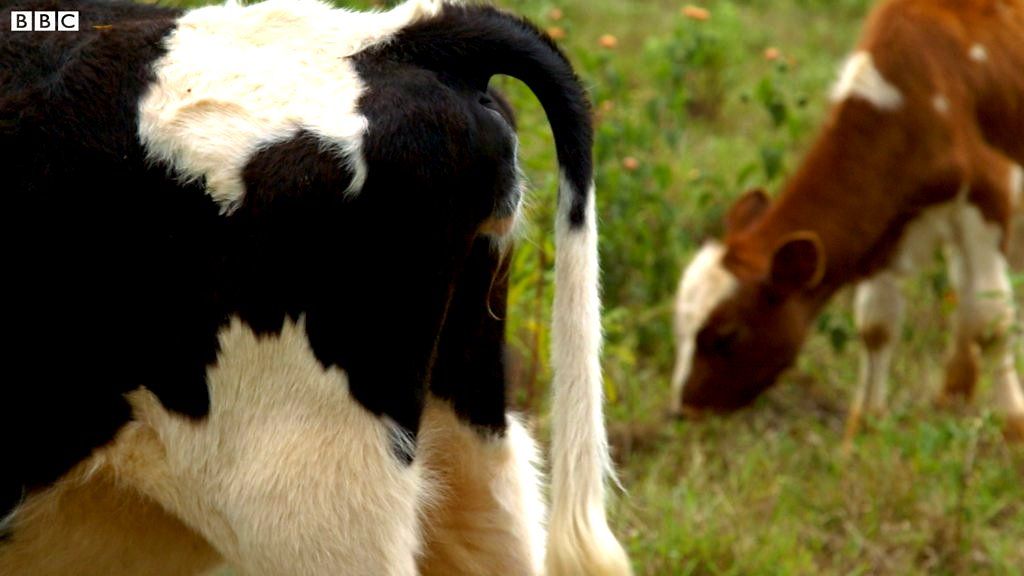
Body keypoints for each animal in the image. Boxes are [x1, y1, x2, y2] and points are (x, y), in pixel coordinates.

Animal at [670, 0, 1024, 443]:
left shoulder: (989, 192)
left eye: (727, 336)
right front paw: (863, 429)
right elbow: (877, 323)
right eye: (680, 325)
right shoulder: (889, 219)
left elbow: (992, 319)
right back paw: (954, 391)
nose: (683, 410)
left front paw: (1013, 425)